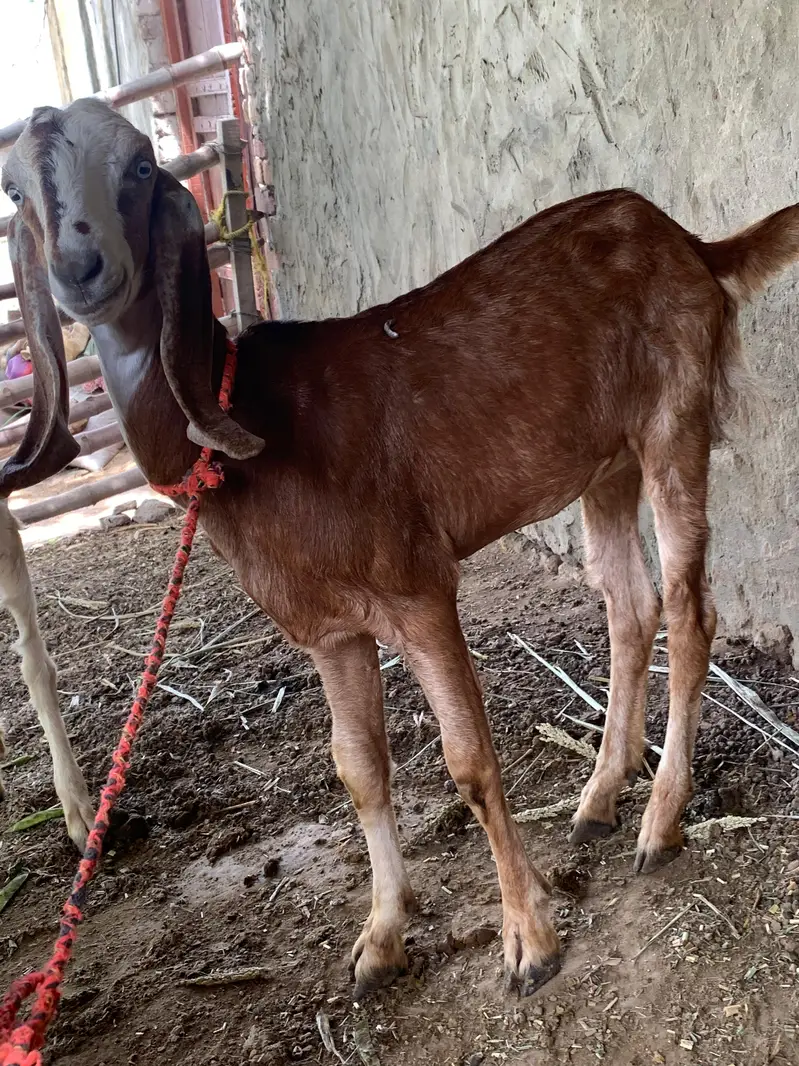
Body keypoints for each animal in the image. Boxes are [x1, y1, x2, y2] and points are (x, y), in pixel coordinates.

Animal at [5, 97, 799, 998]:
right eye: (17, 189)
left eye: (139, 165)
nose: (80, 265)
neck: (250, 426)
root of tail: (691, 245)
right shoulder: (327, 629)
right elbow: (357, 767)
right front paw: (380, 940)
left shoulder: (417, 587)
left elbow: (469, 760)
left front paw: (529, 940)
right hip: (606, 461)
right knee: (629, 606)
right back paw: (598, 798)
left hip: (673, 417)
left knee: (689, 608)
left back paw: (659, 823)